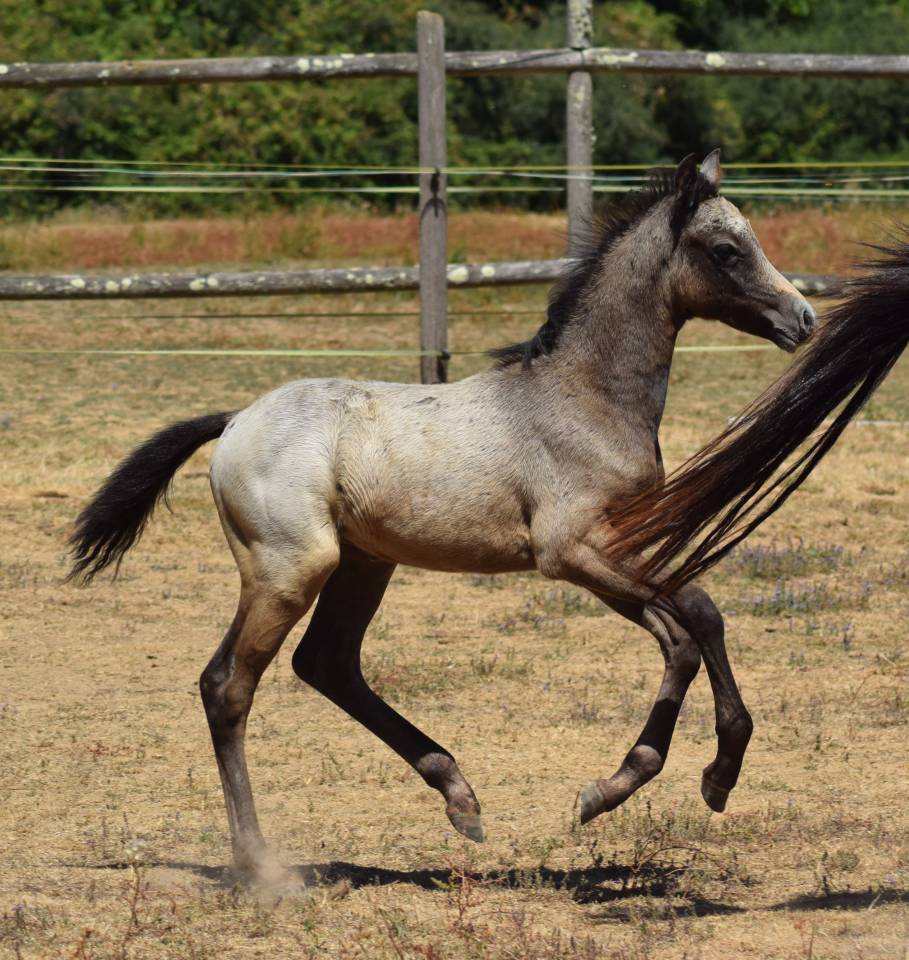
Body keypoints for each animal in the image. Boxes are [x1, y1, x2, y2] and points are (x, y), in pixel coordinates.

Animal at [68, 150, 816, 882]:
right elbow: (693, 624)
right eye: (725, 250)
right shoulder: (571, 551)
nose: (802, 318)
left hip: (363, 564)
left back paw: (460, 798)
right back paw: (259, 865)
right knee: (227, 686)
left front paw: (653, 784)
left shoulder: (610, 552)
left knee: (327, 663)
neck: (583, 397)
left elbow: (691, 627)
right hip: (289, 568)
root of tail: (234, 421)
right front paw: (686, 778)